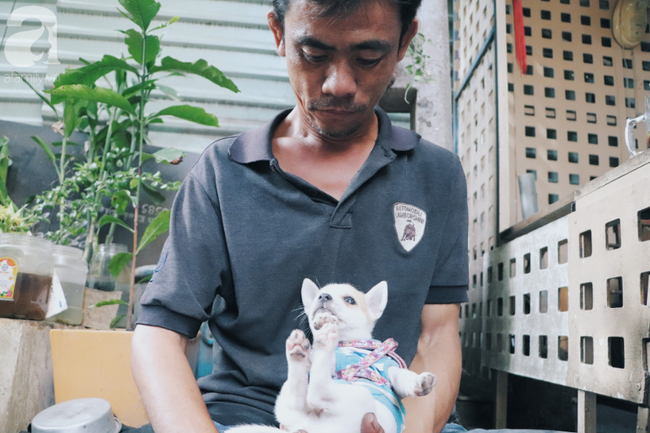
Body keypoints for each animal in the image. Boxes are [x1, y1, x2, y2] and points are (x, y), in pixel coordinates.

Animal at [228, 279, 436, 433]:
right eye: (316, 297)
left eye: (350, 300)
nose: (323, 296)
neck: (348, 344)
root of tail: (314, 427)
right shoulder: (332, 364)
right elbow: (327, 363)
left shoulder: (391, 369)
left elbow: (404, 378)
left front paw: (420, 382)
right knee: (314, 392)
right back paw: (312, 345)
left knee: (313, 394)